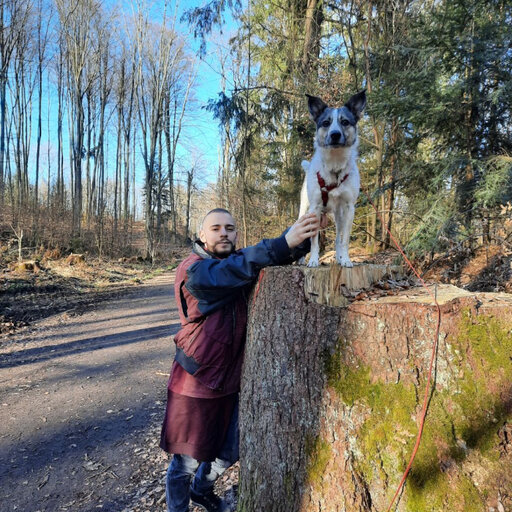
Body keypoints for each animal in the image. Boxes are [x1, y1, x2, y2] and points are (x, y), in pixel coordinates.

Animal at [298, 90, 366, 268]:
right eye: (326, 123)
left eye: (345, 122)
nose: (335, 135)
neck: (335, 167)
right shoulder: (314, 209)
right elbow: (314, 240)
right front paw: (313, 260)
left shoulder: (349, 208)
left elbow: (344, 240)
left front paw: (346, 259)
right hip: (304, 211)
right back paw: (301, 259)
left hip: (338, 215)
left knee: (337, 238)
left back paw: (340, 258)